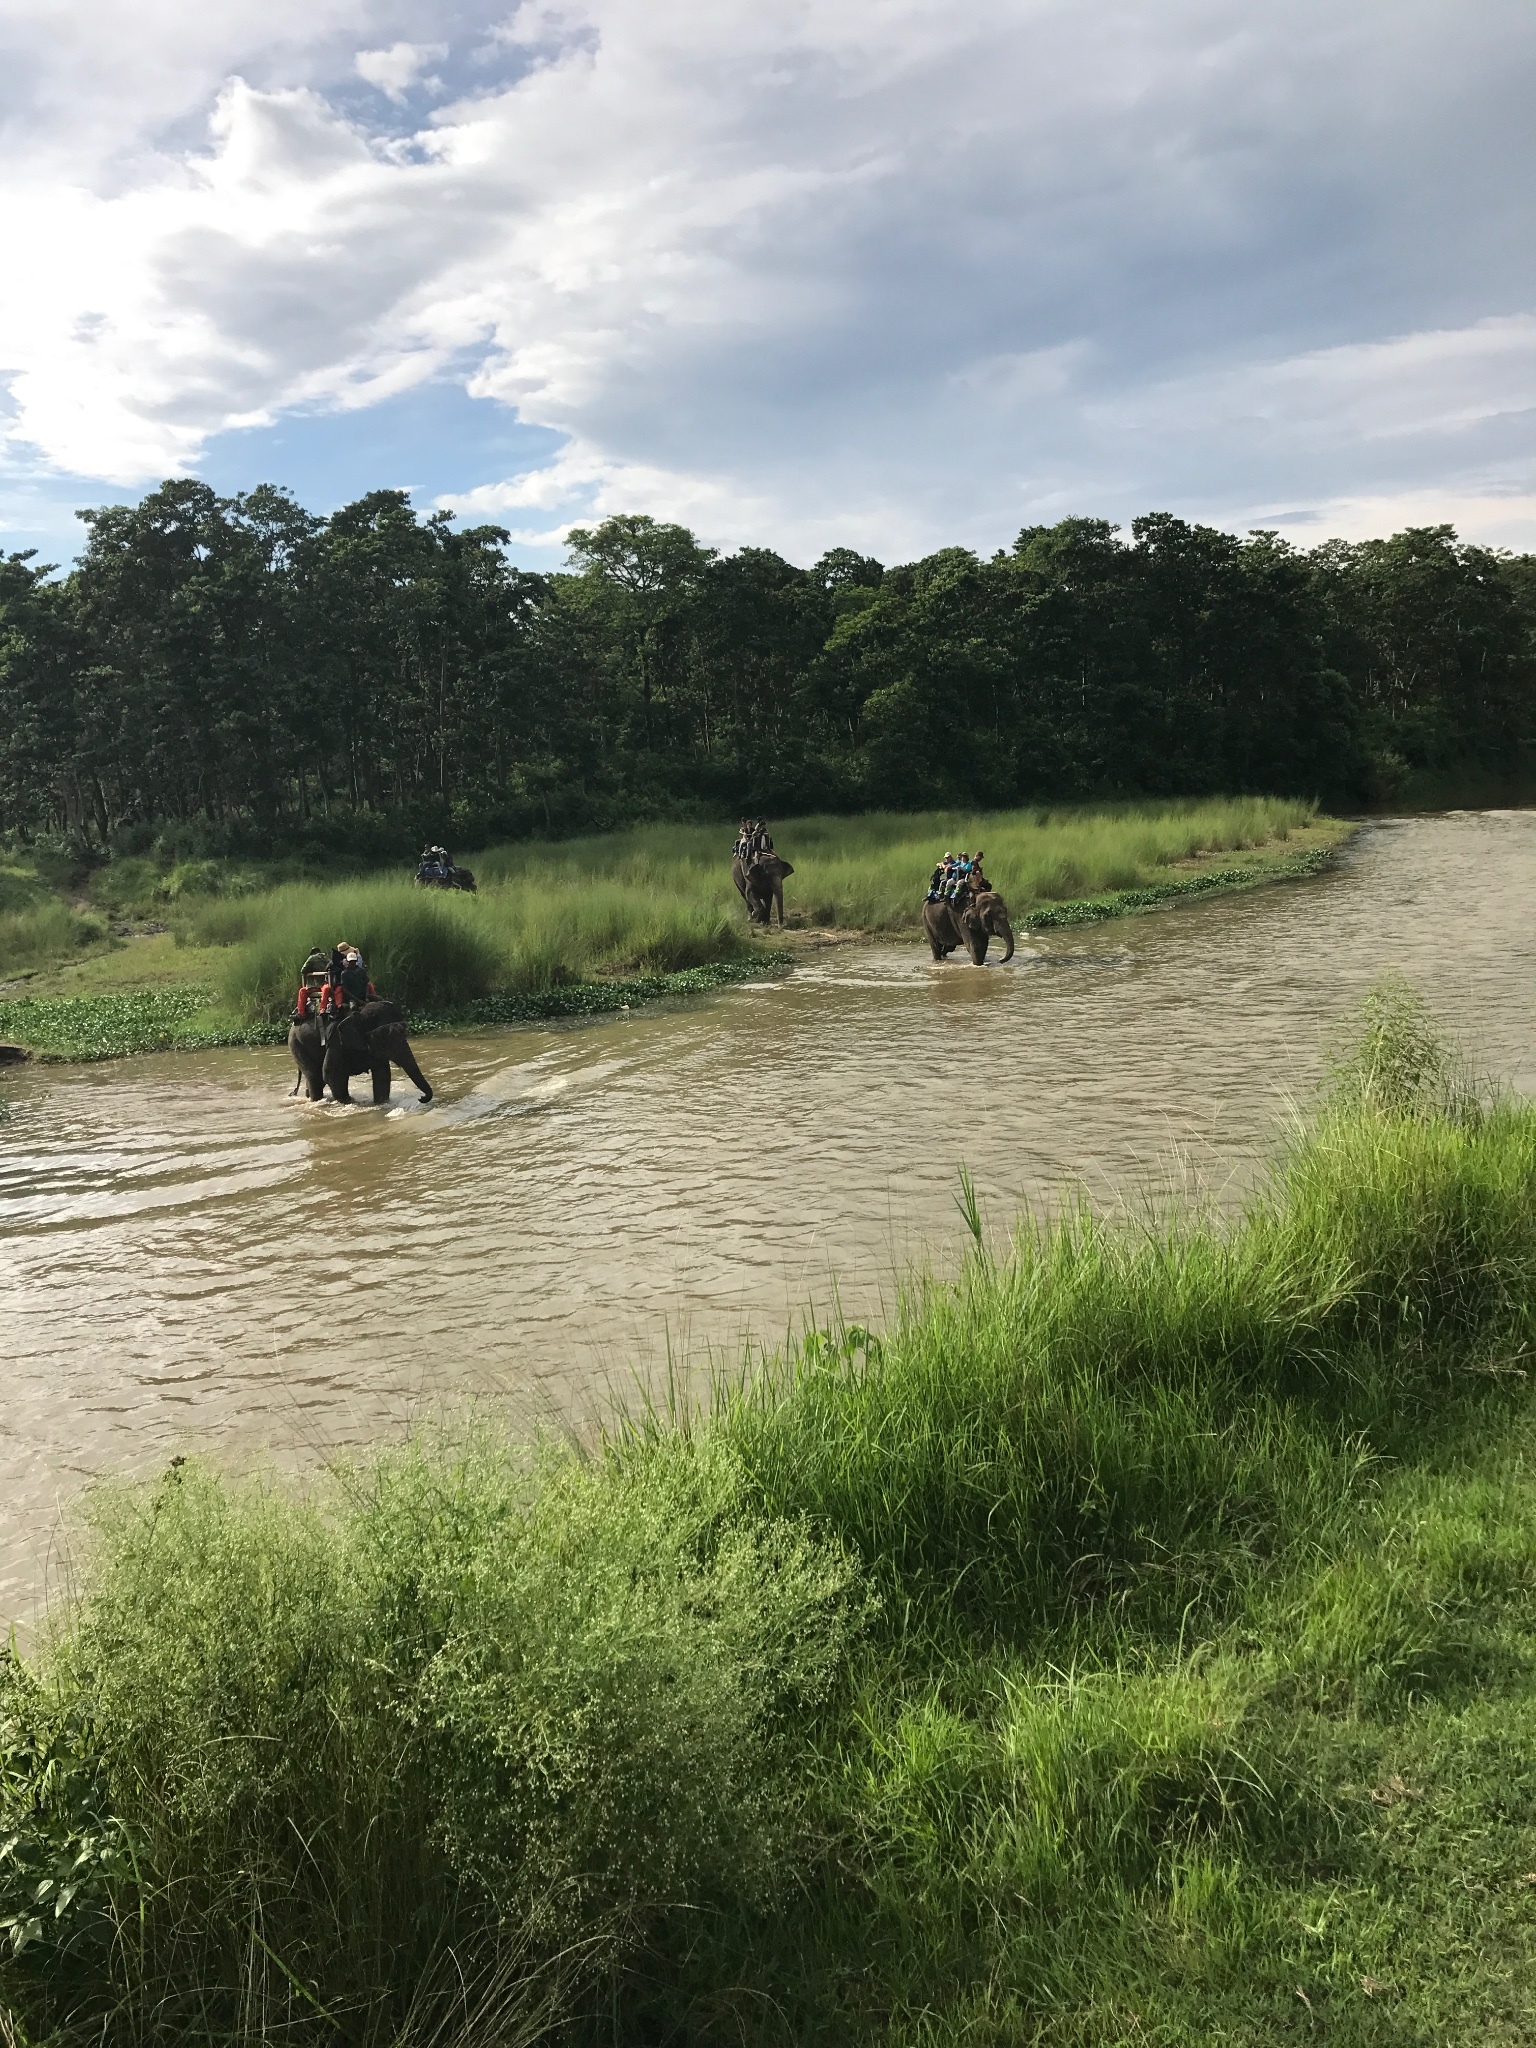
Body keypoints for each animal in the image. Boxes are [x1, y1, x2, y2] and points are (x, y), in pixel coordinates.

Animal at [288, 991, 436, 1105]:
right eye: (383, 1036)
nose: (421, 1098)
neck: (360, 1011)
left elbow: (382, 1074)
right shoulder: (336, 1040)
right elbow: (332, 1075)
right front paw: (350, 1103)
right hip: (296, 1044)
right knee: (315, 1078)